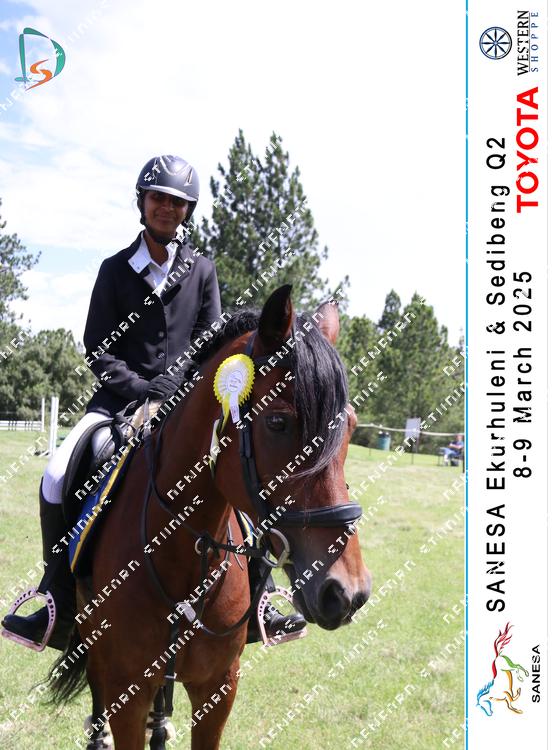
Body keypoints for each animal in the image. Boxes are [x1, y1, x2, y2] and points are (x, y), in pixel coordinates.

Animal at [48, 284, 371, 749]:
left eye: (350, 427)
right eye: (277, 422)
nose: (348, 592)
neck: (185, 552)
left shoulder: (218, 686)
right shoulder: (128, 689)